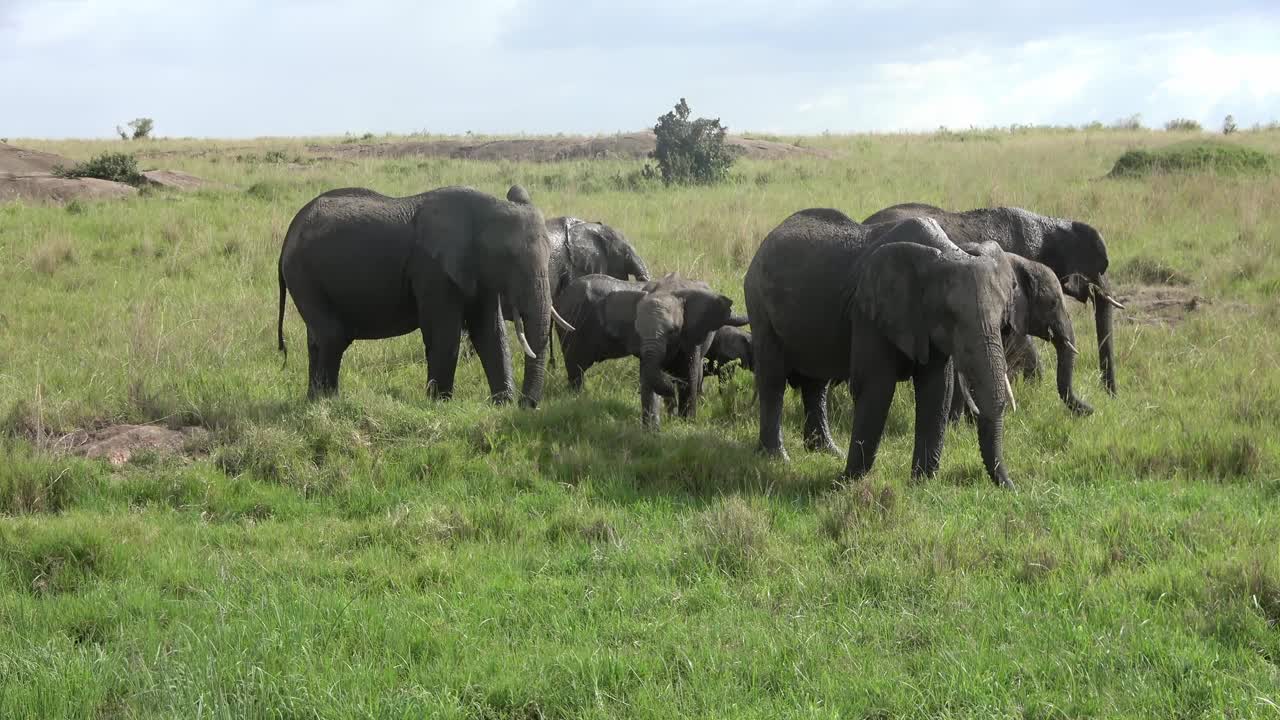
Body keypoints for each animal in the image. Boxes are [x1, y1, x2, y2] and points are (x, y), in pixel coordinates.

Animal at [282, 181, 578, 404]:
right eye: (509, 259)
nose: (527, 406)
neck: (486, 210)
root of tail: (290, 231)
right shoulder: (434, 269)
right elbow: (445, 333)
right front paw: (440, 403)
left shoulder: (477, 273)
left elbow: (490, 332)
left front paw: (501, 404)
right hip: (302, 273)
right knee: (332, 335)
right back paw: (326, 401)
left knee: (318, 338)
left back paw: (316, 400)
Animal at [552, 270, 747, 425]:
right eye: (637, 330)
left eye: (673, 331)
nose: (670, 384)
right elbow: (649, 376)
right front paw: (652, 429)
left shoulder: (692, 334)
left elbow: (689, 375)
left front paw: (686, 424)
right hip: (572, 326)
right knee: (576, 370)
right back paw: (576, 399)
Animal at [742, 210, 1018, 484]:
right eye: (951, 317)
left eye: (1003, 319)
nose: (1012, 488)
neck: (945, 252)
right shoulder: (868, 310)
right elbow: (876, 385)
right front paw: (847, 482)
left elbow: (938, 389)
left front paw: (921, 483)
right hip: (758, 303)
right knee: (773, 378)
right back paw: (777, 458)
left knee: (816, 382)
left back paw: (827, 451)